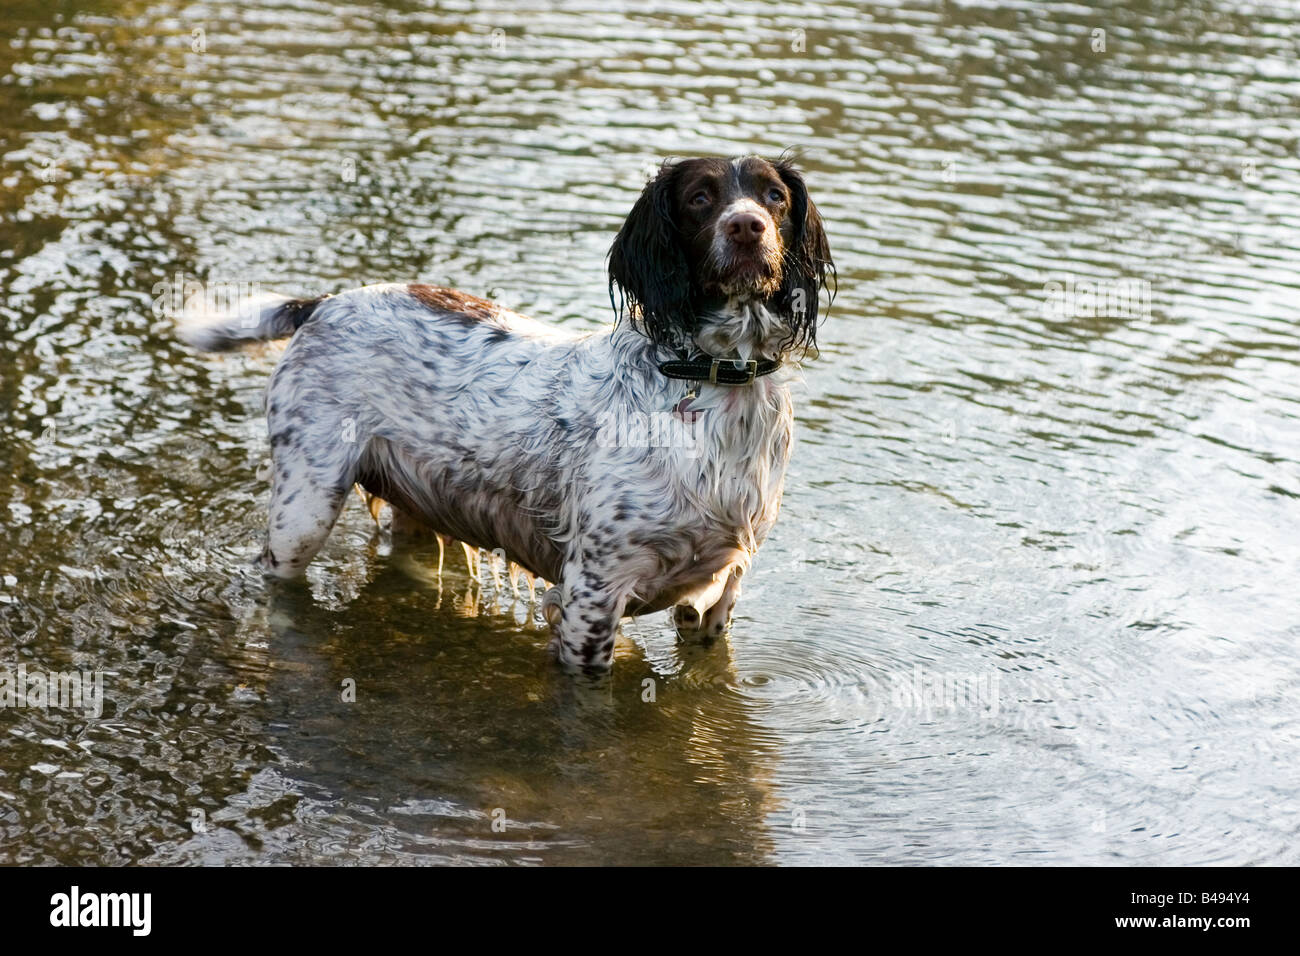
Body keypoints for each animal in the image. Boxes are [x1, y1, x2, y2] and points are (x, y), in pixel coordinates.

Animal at [180, 153, 832, 671]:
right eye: (700, 198)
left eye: (774, 197)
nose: (747, 226)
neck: (711, 379)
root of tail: (324, 302)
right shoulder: (591, 594)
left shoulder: (717, 597)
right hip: (304, 510)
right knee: (273, 582)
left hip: (416, 507)